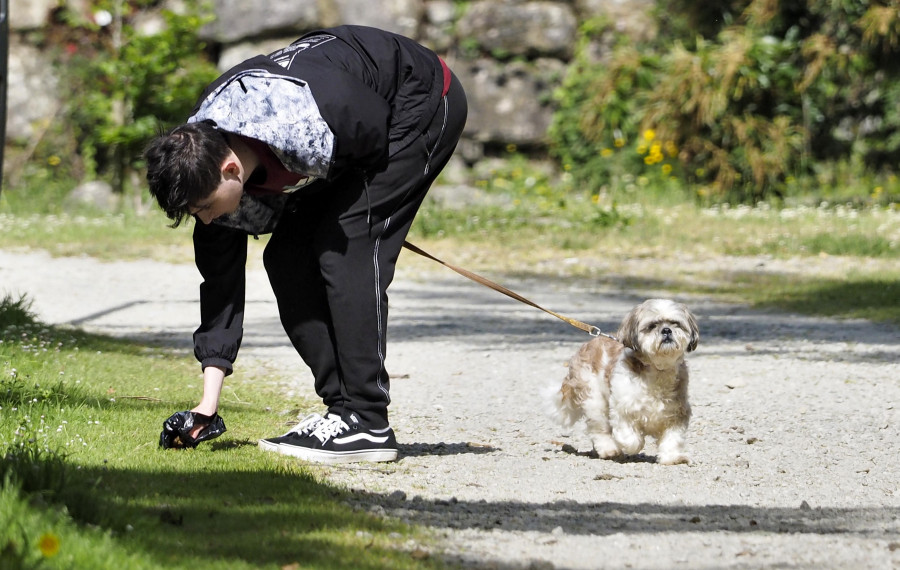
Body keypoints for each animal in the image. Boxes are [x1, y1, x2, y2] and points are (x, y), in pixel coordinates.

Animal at [544, 298, 700, 462]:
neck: (658, 370)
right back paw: (609, 449)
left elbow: (673, 438)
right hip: (594, 400)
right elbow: (631, 439)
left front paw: (672, 457)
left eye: (675, 323)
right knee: (600, 429)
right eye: (652, 326)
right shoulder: (622, 409)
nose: (666, 330)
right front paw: (631, 445)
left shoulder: (677, 413)